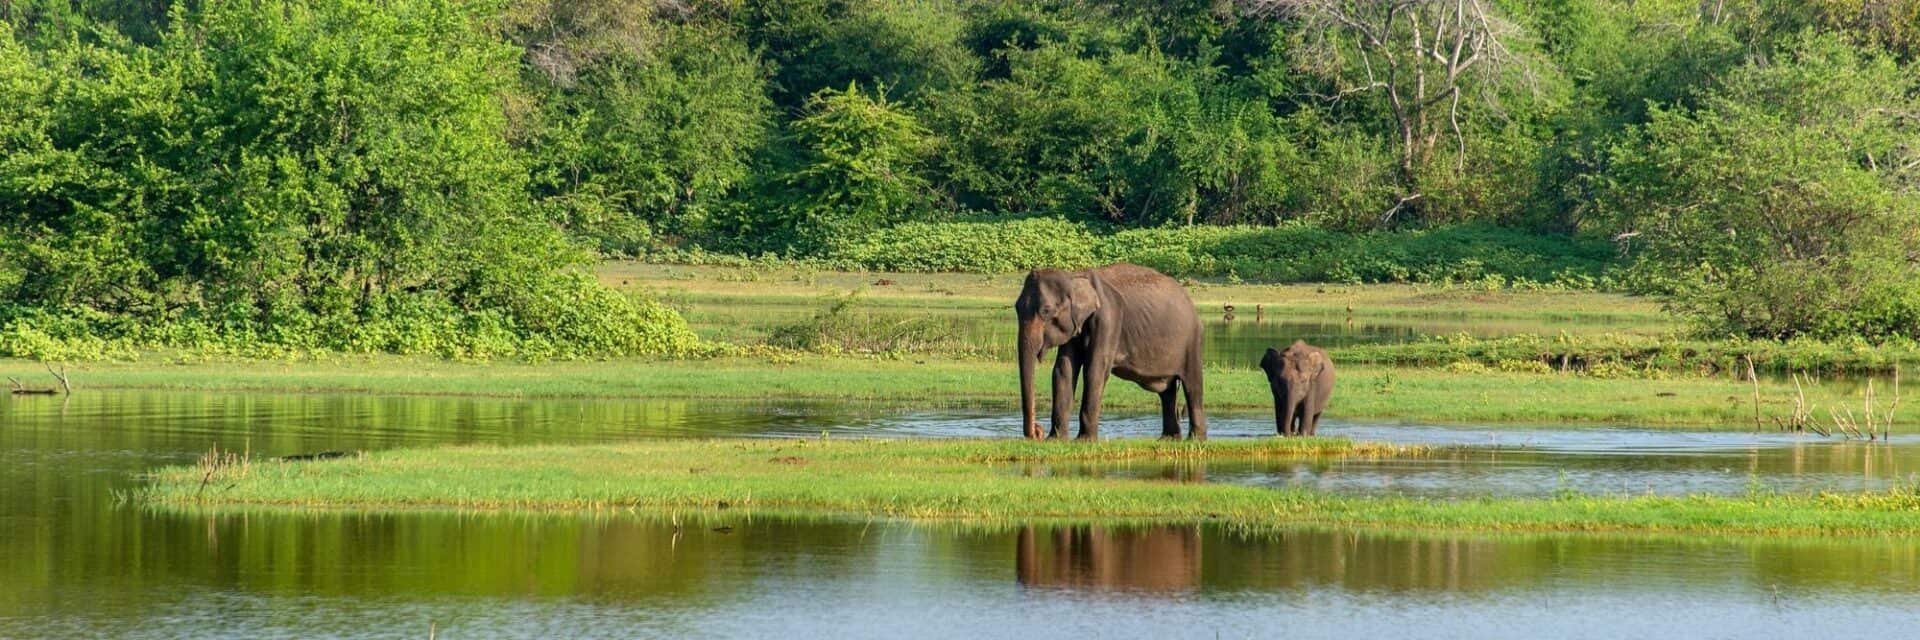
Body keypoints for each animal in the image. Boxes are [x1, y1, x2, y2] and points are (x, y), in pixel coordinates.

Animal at [1014, 263, 1207, 440]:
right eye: (1016, 307)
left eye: (1046, 311)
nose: (1037, 431)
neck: (1075, 277)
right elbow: (1063, 370)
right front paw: (1055, 440)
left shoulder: (1108, 318)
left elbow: (1095, 369)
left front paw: (1084, 441)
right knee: (1167, 392)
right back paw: (1169, 439)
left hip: (1191, 341)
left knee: (1193, 386)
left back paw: (1195, 439)